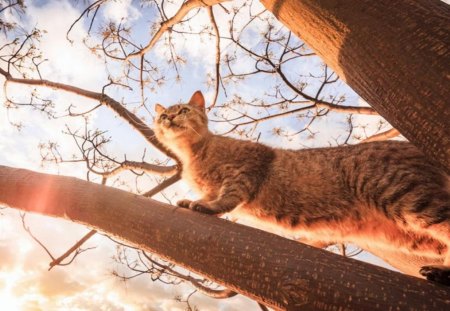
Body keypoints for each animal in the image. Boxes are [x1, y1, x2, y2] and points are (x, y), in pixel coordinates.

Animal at [154, 90, 450, 286]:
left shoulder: (247, 167)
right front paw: (193, 200)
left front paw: (208, 206)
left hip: (405, 196)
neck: (193, 155)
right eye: (163, 115)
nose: (168, 117)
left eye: (183, 110)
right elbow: (208, 193)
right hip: (411, 234)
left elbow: (228, 196)